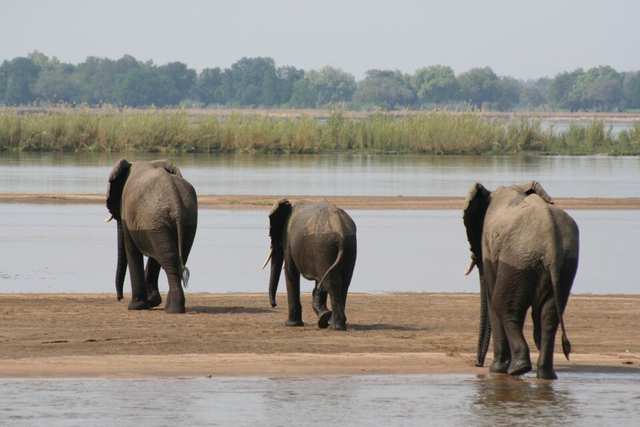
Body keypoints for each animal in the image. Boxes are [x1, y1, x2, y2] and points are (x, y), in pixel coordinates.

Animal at [105, 159, 197, 314]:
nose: (119, 298)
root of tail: (175, 199)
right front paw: (152, 302)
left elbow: (131, 251)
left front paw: (136, 307)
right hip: (180, 220)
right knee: (174, 258)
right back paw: (173, 308)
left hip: (156, 218)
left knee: (168, 260)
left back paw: (172, 309)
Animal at [263, 199, 357, 330]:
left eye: (272, 233)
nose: (274, 305)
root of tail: (341, 232)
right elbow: (318, 282)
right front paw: (322, 317)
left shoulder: (288, 240)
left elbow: (290, 271)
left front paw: (291, 325)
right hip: (349, 247)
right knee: (343, 283)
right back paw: (334, 323)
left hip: (325, 248)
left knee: (332, 283)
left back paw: (335, 326)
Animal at [463, 181, 579, 379]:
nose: (477, 364)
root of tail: (550, 241)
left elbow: (492, 299)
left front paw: (496, 369)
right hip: (564, 265)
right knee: (549, 316)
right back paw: (545, 374)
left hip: (516, 259)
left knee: (503, 305)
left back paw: (517, 369)